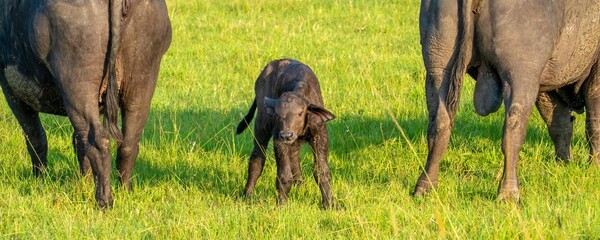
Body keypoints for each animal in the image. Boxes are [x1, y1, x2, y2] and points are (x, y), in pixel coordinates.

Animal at [0, 0, 173, 206]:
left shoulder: (12, 91)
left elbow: (35, 138)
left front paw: (39, 180)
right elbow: (78, 142)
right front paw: (84, 181)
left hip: (77, 87)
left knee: (98, 140)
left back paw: (104, 201)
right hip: (141, 84)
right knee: (128, 143)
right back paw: (125, 192)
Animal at [236, 58, 338, 208]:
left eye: (300, 113)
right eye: (278, 115)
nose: (287, 135)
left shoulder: (320, 136)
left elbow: (322, 171)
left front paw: (329, 203)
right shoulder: (279, 140)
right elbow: (284, 176)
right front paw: (282, 204)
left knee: (294, 157)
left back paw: (300, 186)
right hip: (261, 124)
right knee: (257, 158)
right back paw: (247, 195)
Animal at [414, 0, 600, 201]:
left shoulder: (547, 86)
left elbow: (560, 125)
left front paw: (563, 163)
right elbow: (593, 125)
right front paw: (594, 166)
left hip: (438, 68)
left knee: (438, 125)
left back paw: (425, 187)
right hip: (521, 75)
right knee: (513, 129)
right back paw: (509, 193)